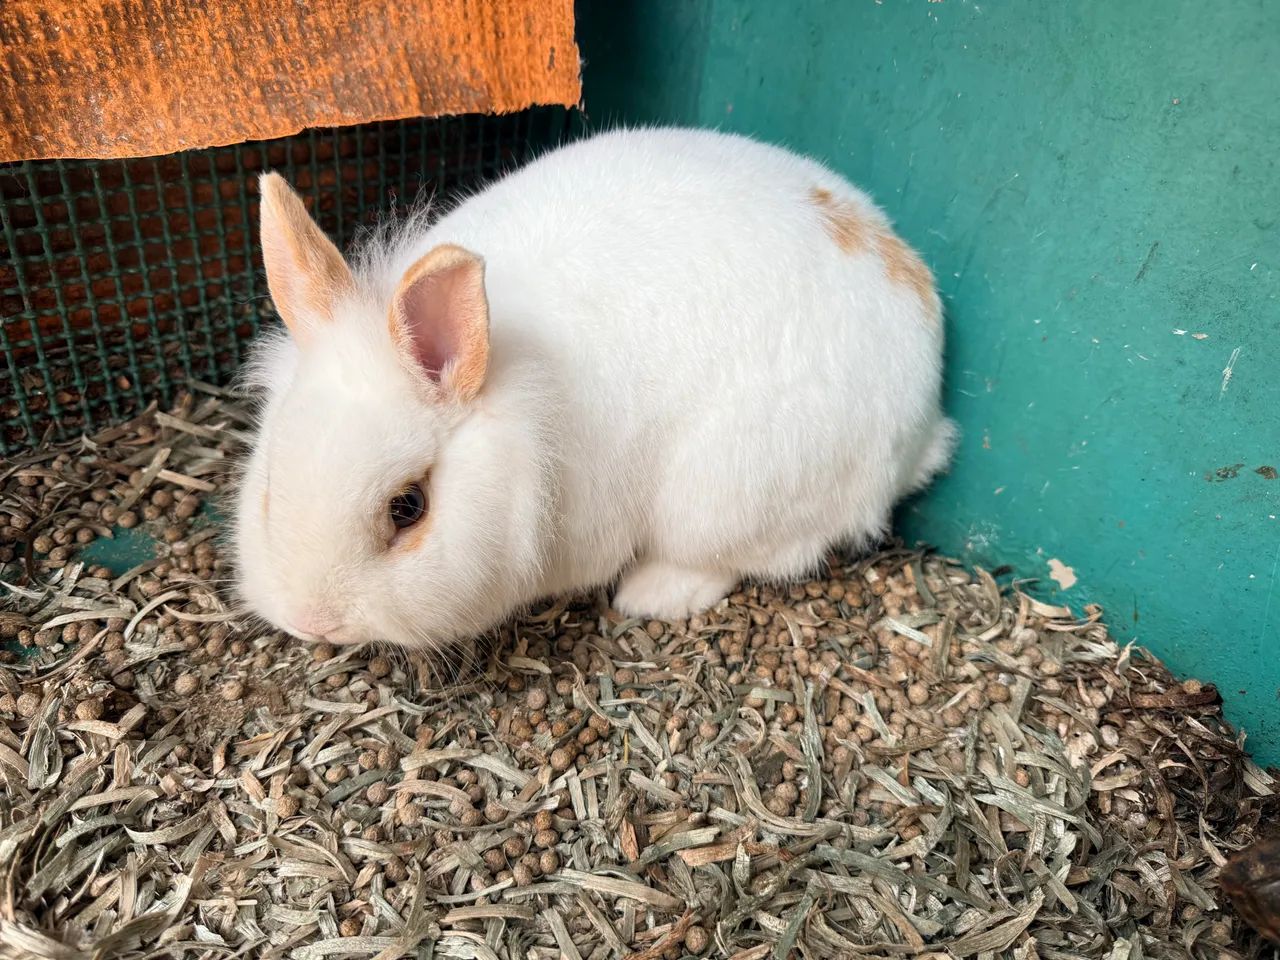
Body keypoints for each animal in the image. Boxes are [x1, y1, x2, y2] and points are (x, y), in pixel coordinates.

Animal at [233, 126, 956, 650]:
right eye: (269, 487)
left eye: (408, 507)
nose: (314, 622)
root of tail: (926, 410)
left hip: (730, 495)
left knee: (768, 553)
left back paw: (653, 594)